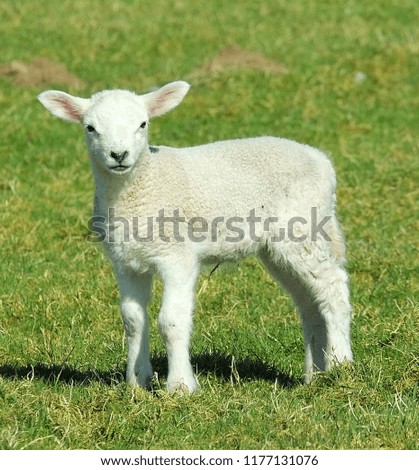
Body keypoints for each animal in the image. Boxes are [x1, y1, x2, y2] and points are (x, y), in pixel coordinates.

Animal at [37, 81, 352, 392]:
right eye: (90, 127)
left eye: (143, 124)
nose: (119, 155)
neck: (140, 188)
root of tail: (322, 160)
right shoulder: (126, 262)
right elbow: (133, 319)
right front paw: (137, 383)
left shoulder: (177, 257)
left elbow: (171, 321)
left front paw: (179, 386)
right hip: (276, 247)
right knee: (309, 301)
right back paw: (314, 375)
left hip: (302, 228)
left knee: (333, 287)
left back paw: (340, 365)